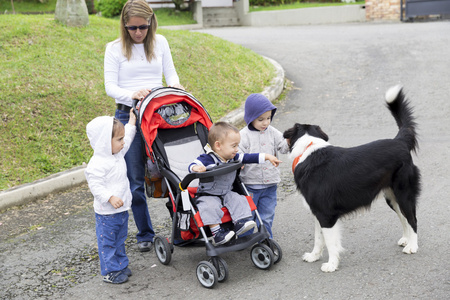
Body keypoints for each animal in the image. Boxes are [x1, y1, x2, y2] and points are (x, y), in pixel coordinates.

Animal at [284, 85, 420, 274]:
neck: (308, 149)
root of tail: (399, 141)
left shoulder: (326, 215)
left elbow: (331, 243)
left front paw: (332, 264)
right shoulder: (317, 213)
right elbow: (318, 239)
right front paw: (313, 256)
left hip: (404, 193)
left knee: (413, 219)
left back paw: (412, 246)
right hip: (392, 197)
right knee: (404, 217)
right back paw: (406, 240)